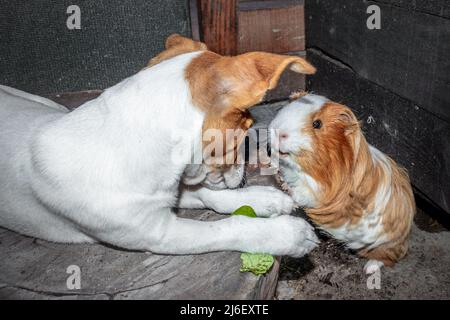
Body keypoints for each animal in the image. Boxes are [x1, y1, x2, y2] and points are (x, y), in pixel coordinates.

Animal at [0, 33, 318, 256]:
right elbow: (227, 226)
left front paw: (261, 199)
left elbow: (208, 196)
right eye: (244, 131)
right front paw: (283, 235)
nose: (244, 174)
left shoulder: (166, 195)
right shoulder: (158, 233)